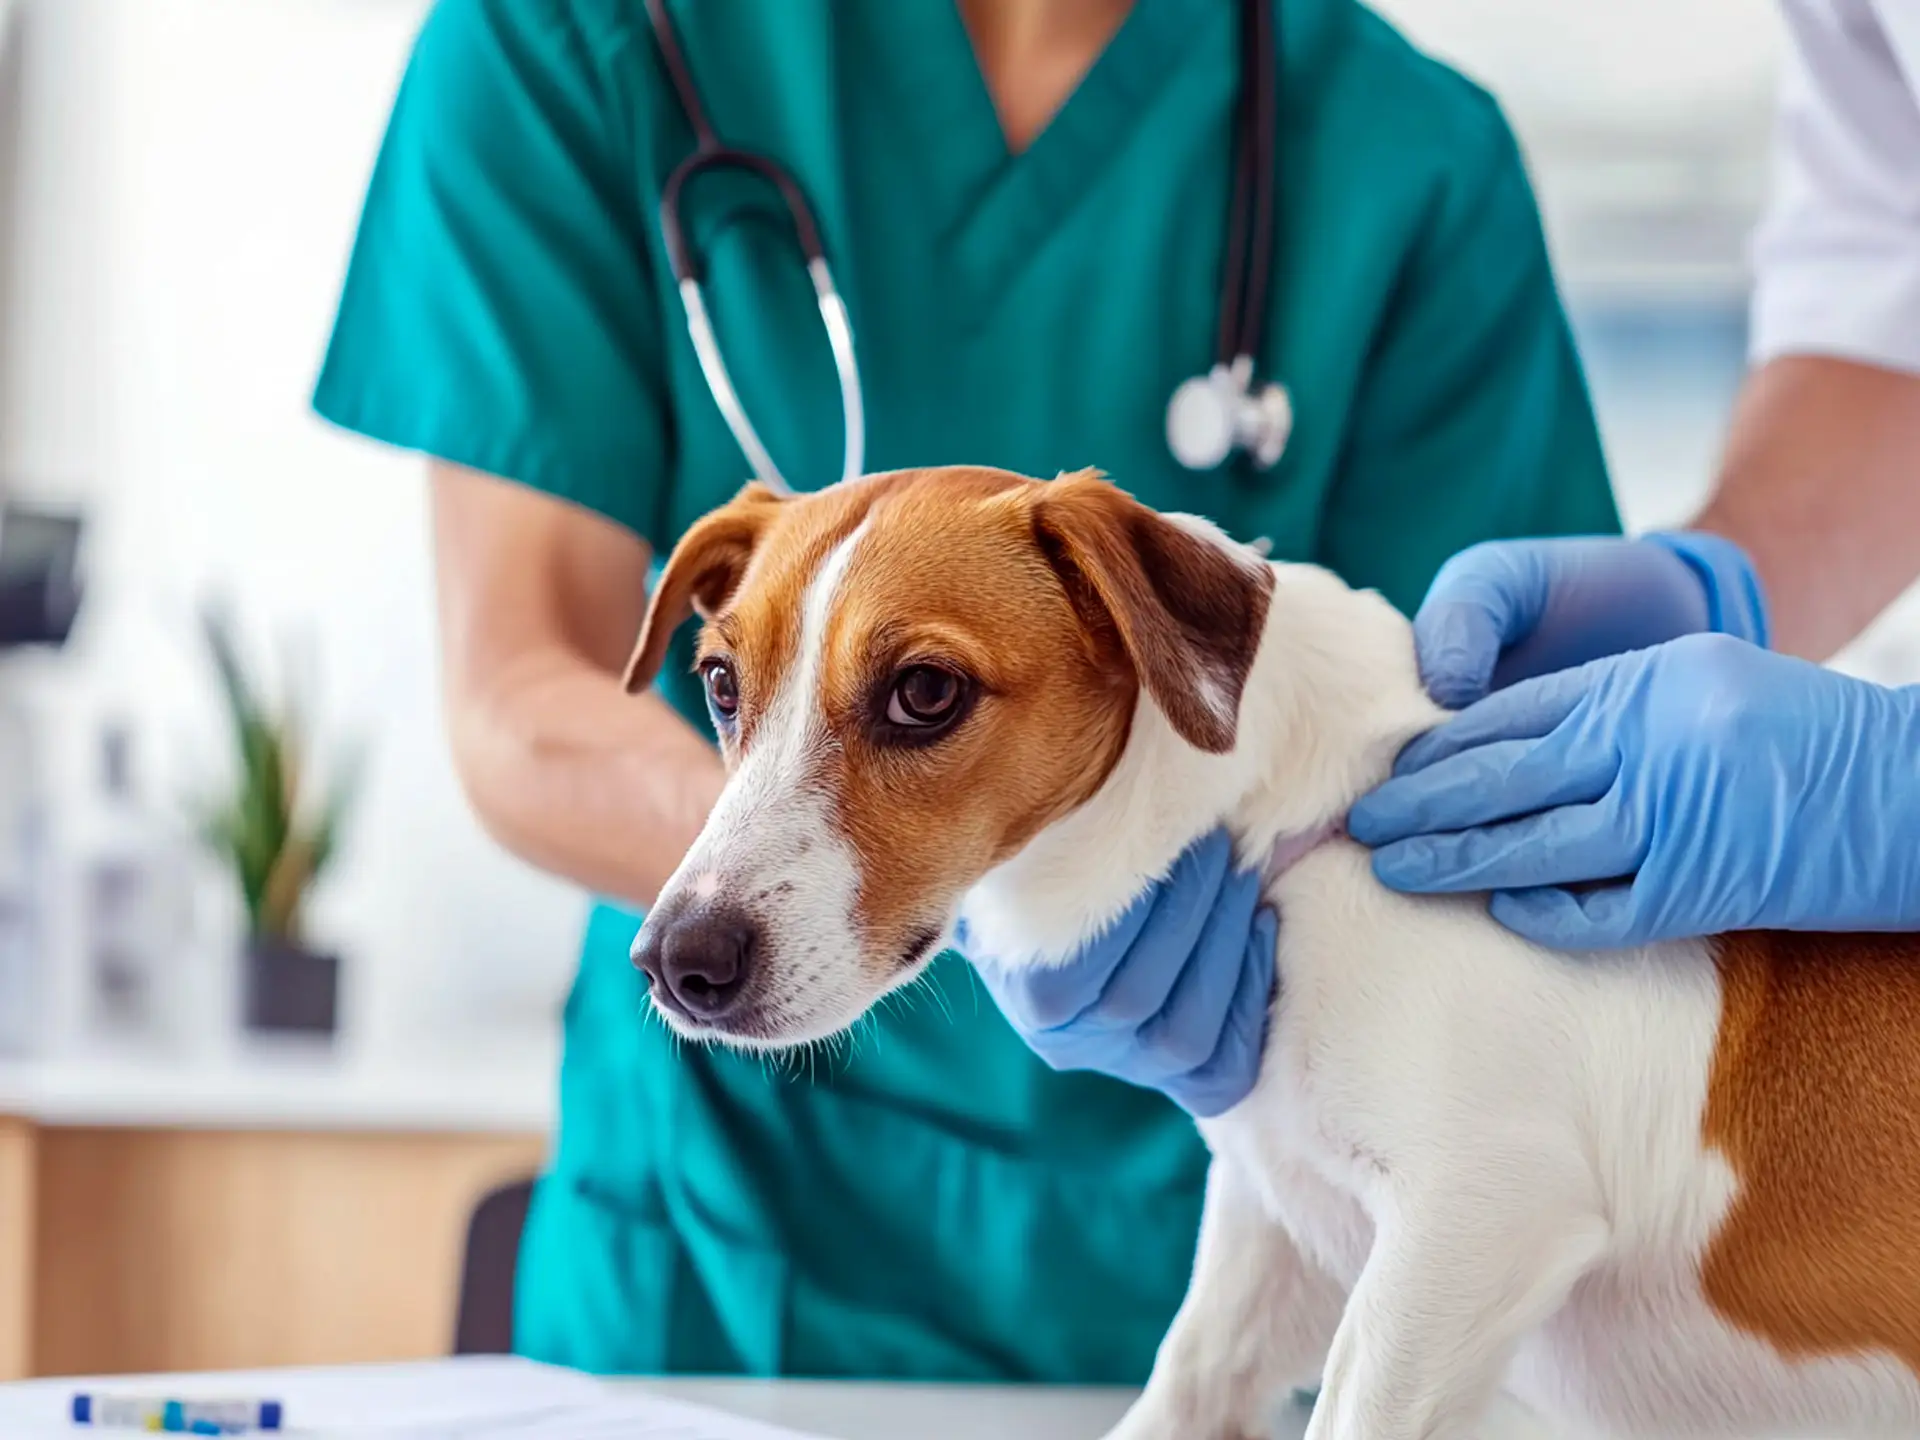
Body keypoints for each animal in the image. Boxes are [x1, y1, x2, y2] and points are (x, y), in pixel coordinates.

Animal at [622, 468, 1920, 1440]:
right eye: (721, 684)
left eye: (925, 692)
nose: (679, 962)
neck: (1303, 839)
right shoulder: (1277, 1221)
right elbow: (1192, 1377)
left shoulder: (1478, 1220)